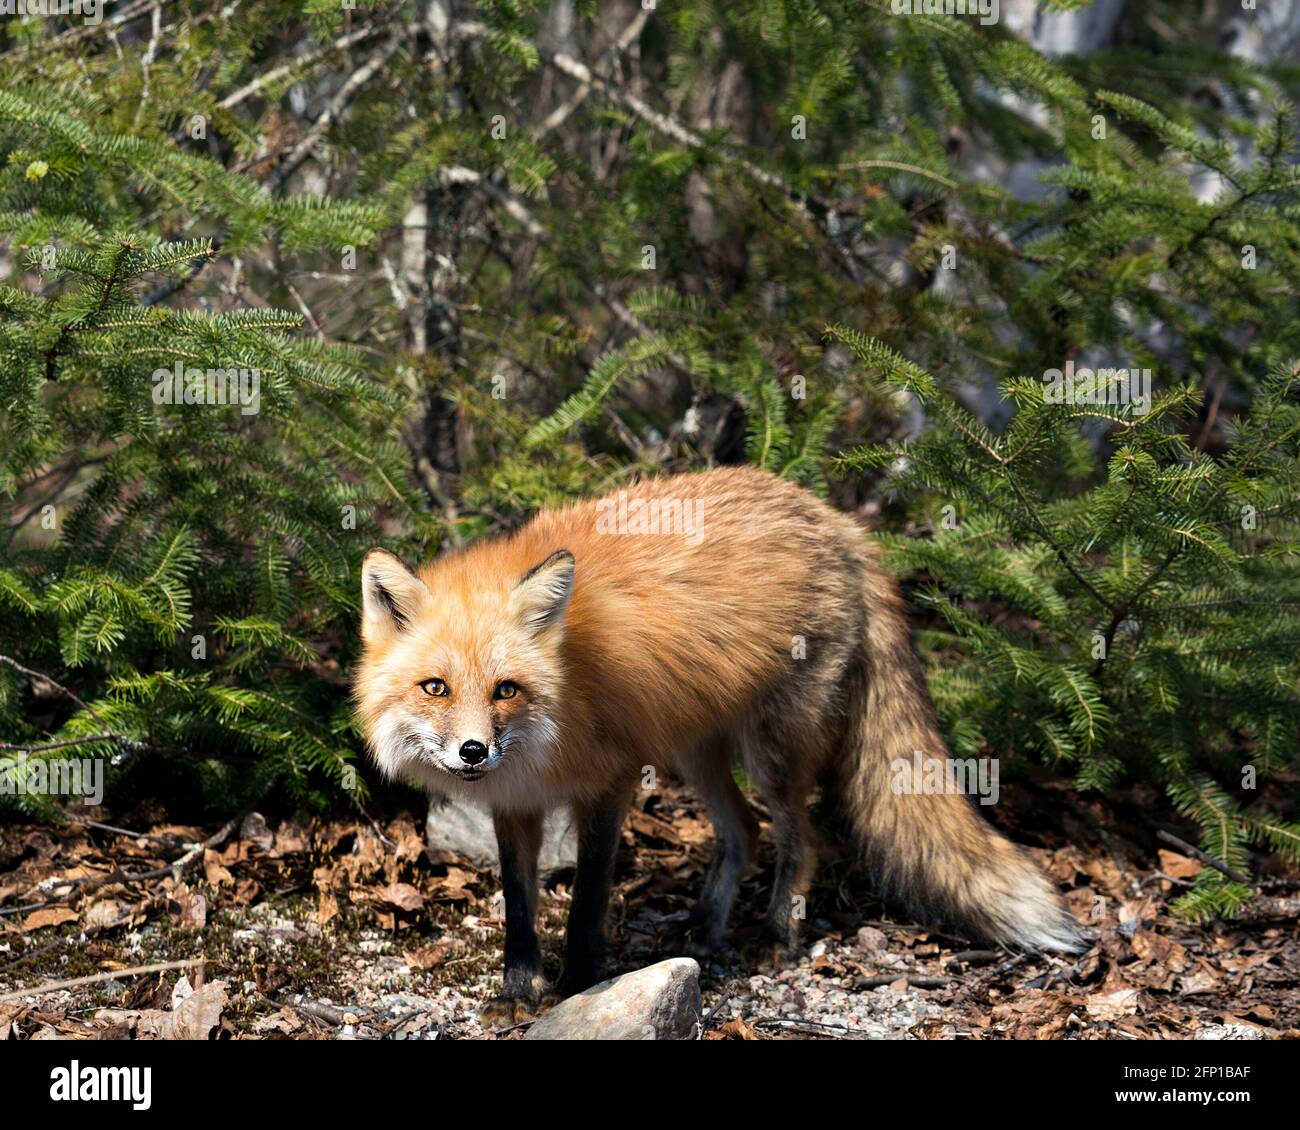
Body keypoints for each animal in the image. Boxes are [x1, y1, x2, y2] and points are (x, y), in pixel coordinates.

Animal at [353, 462, 1076, 1019]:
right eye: (436, 688)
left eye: (506, 689)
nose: (474, 752)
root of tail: (837, 521)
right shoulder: (516, 803)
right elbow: (521, 908)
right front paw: (516, 990)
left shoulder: (610, 782)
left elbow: (586, 898)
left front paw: (578, 981)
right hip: (694, 749)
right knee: (744, 832)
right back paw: (704, 929)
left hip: (771, 750)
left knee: (799, 838)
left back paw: (778, 933)